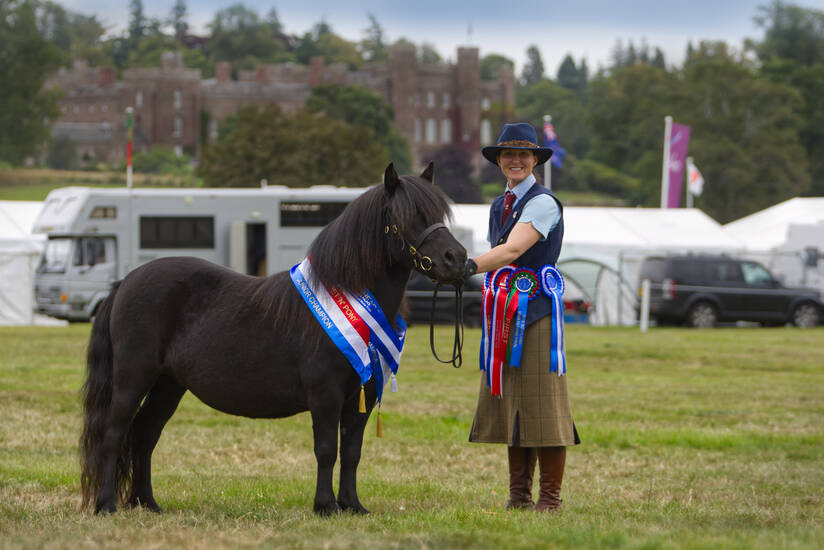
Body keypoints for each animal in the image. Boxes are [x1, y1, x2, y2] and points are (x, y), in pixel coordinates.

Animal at [79, 162, 467, 515]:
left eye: (440, 215)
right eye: (410, 215)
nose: (457, 259)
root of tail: (125, 283)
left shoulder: (362, 397)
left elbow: (352, 451)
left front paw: (352, 505)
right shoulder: (324, 394)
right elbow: (327, 449)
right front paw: (325, 506)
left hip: (168, 384)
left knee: (145, 435)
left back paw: (148, 503)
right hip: (133, 379)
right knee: (114, 434)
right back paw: (106, 505)